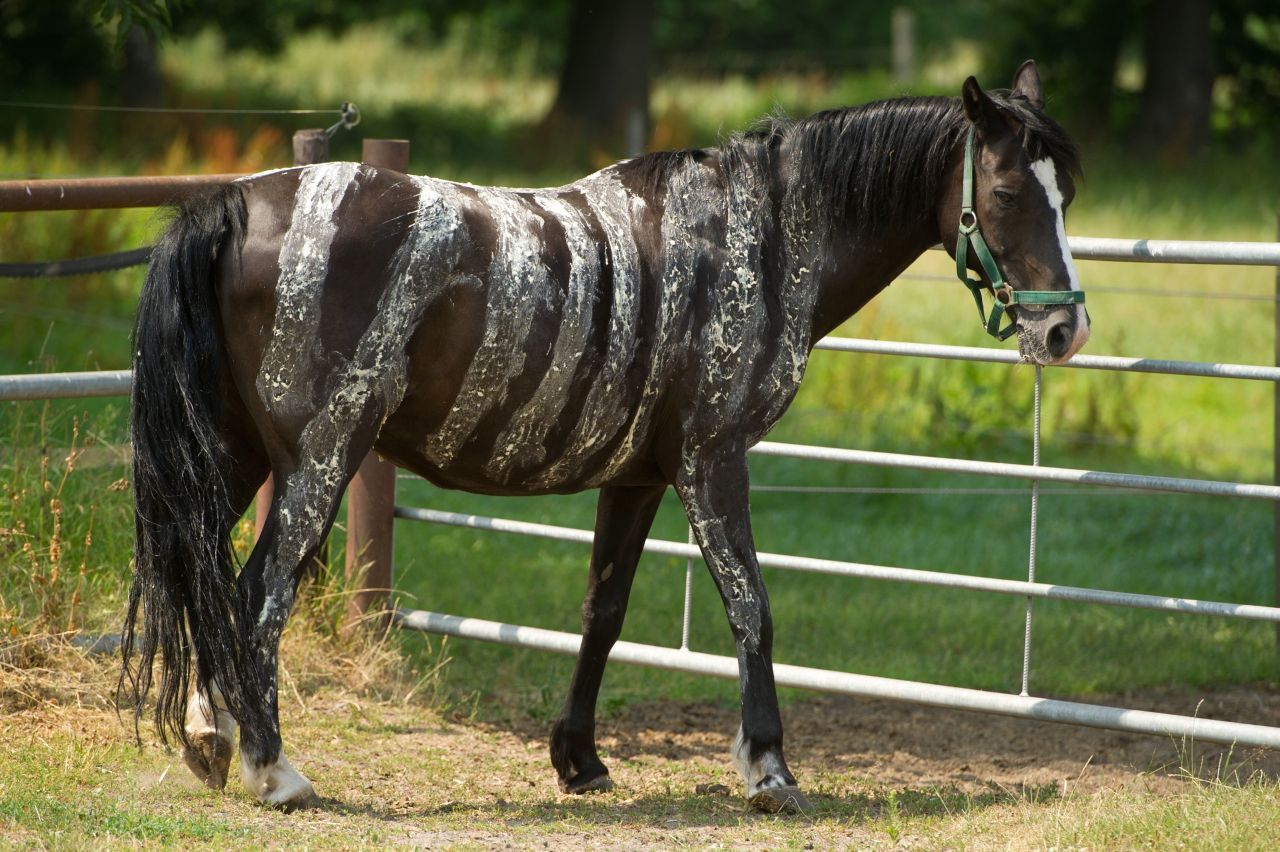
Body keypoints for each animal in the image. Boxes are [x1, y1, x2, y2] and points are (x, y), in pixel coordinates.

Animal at [117, 61, 1090, 808]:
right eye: (1009, 191)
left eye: (1067, 193)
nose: (1064, 332)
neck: (755, 239)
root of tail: (236, 207)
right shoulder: (712, 461)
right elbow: (752, 608)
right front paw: (770, 768)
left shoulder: (640, 475)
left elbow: (604, 610)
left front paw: (577, 758)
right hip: (321, 458)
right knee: (255, 598)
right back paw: (272, 767)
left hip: (232, 460)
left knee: (205, 583)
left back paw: (210, 737)